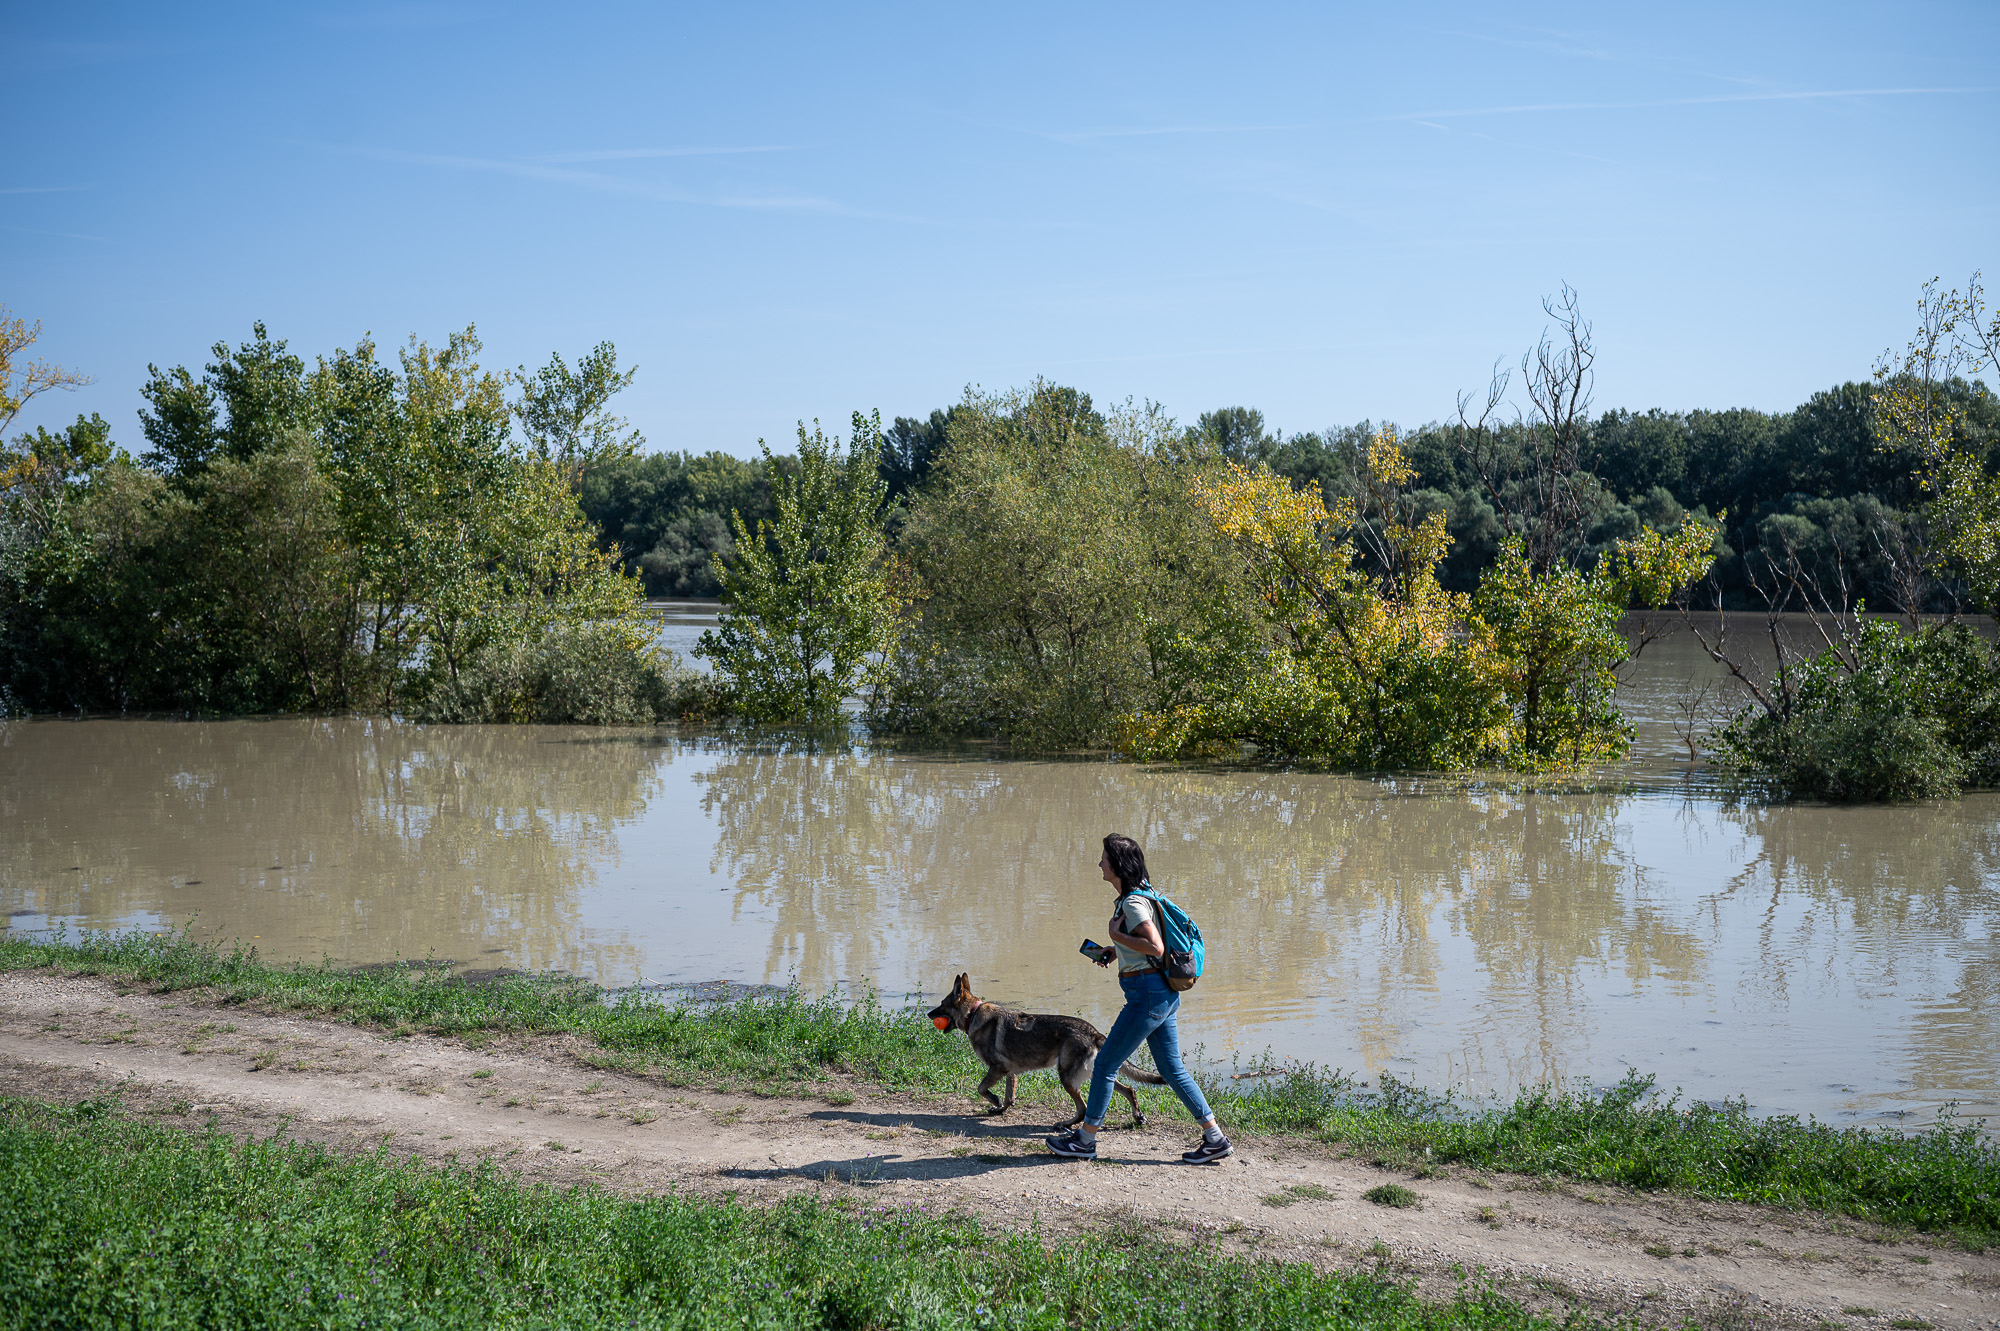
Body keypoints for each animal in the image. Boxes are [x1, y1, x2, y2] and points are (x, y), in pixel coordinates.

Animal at [920, 975, 1160, 1119]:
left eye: (941, 1004)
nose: (929, 1014)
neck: (973, 1013)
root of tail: (1094, 1032)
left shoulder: (997, 1068)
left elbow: (981, 1088)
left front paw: (994, 1100)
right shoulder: (1010, 1072)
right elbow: (1009, 1095)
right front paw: (1000, 1108)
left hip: (1067, 1077)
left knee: (1083, 1109)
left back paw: (1065, 1125)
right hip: (1095, 1073)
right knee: (1128, 1089)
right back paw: (1137, 1116)